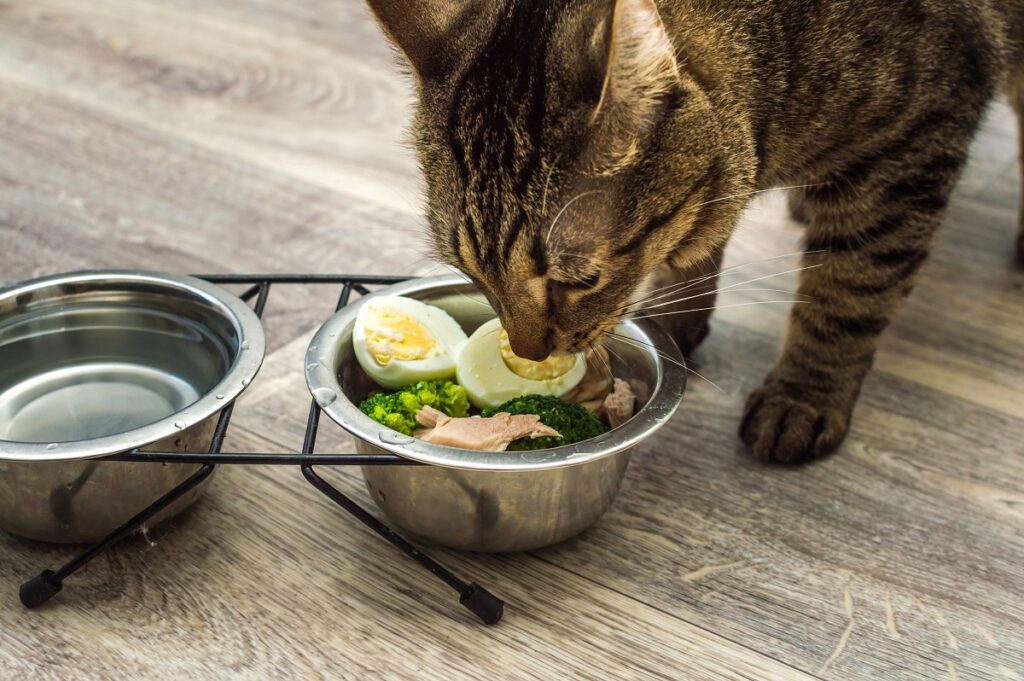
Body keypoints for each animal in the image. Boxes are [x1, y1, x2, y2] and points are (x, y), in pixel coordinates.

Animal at [364, 0, 1024, 462]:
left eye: (580, 279)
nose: (527, 357)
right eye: (470, 273)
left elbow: (848, 296)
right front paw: (676, 319)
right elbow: (697, 244)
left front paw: (802, 395)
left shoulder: (906, 155)